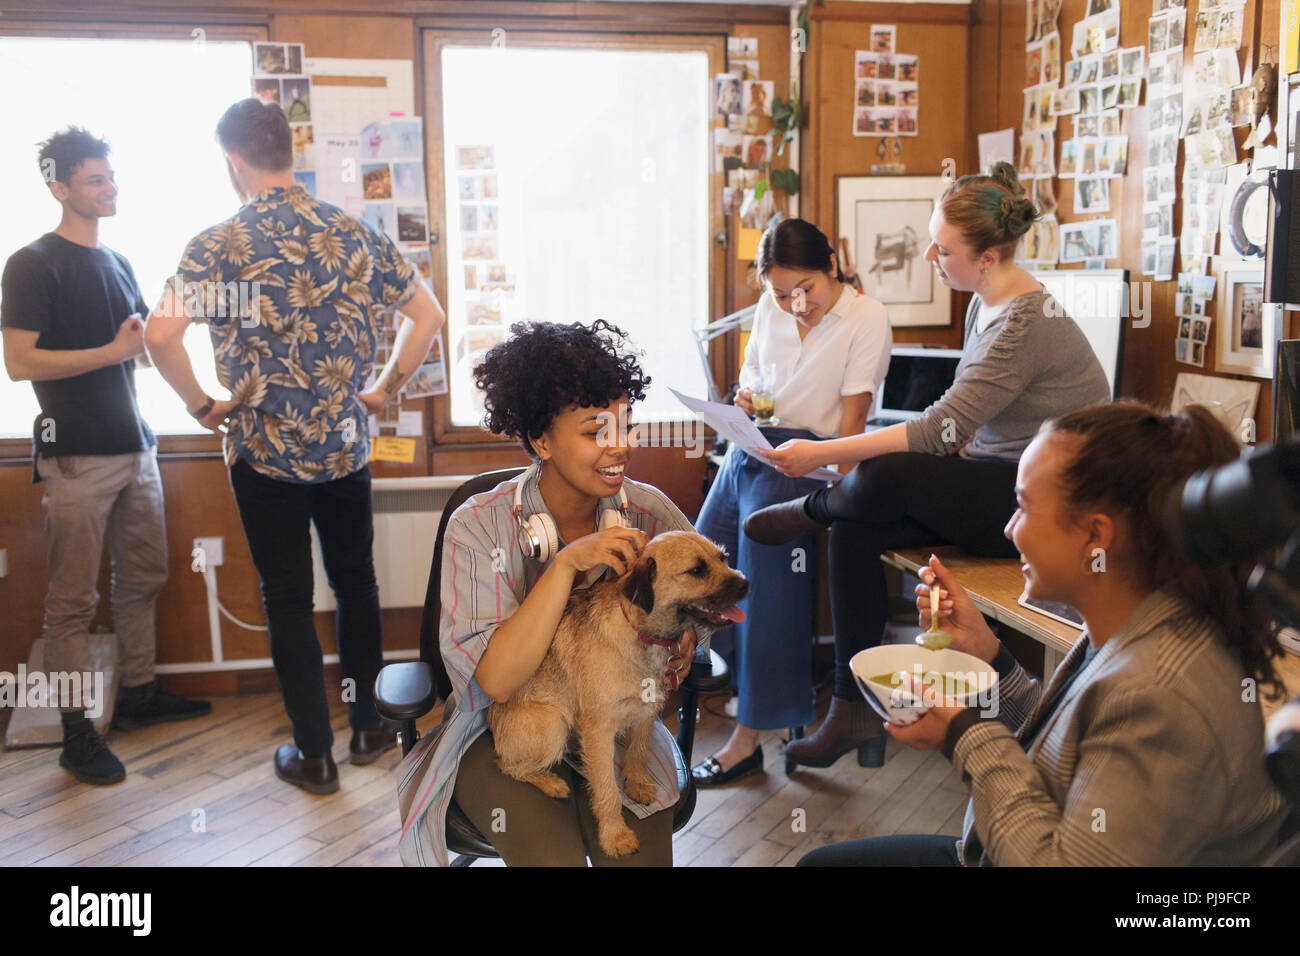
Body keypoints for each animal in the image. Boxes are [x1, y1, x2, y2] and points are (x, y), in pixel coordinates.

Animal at [488, 530, 754, 858]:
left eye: (723, 559)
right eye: (696, 570)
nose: (746, 583)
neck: (644, 635)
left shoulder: (647, 710)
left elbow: (639, 750)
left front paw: (637, 782)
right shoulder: (600, 729)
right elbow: (607, 790)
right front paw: (615, 836)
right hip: (553, 726)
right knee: (506, 765)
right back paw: (551, 783)